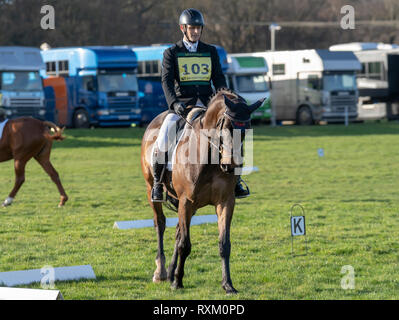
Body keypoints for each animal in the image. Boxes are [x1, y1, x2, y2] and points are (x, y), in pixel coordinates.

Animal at [142, 89, 264, 294]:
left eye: (247, 129)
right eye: (227, 127)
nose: (231, 166)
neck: (210, 157)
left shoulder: (225, 202)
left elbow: (224, 244)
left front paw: (228, 285)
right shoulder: (186, 202)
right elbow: (185, 244)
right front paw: (178, 282)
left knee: (178, 230)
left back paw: (171, 271)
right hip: (152, 188)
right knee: (160, 223)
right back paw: (162, 273)